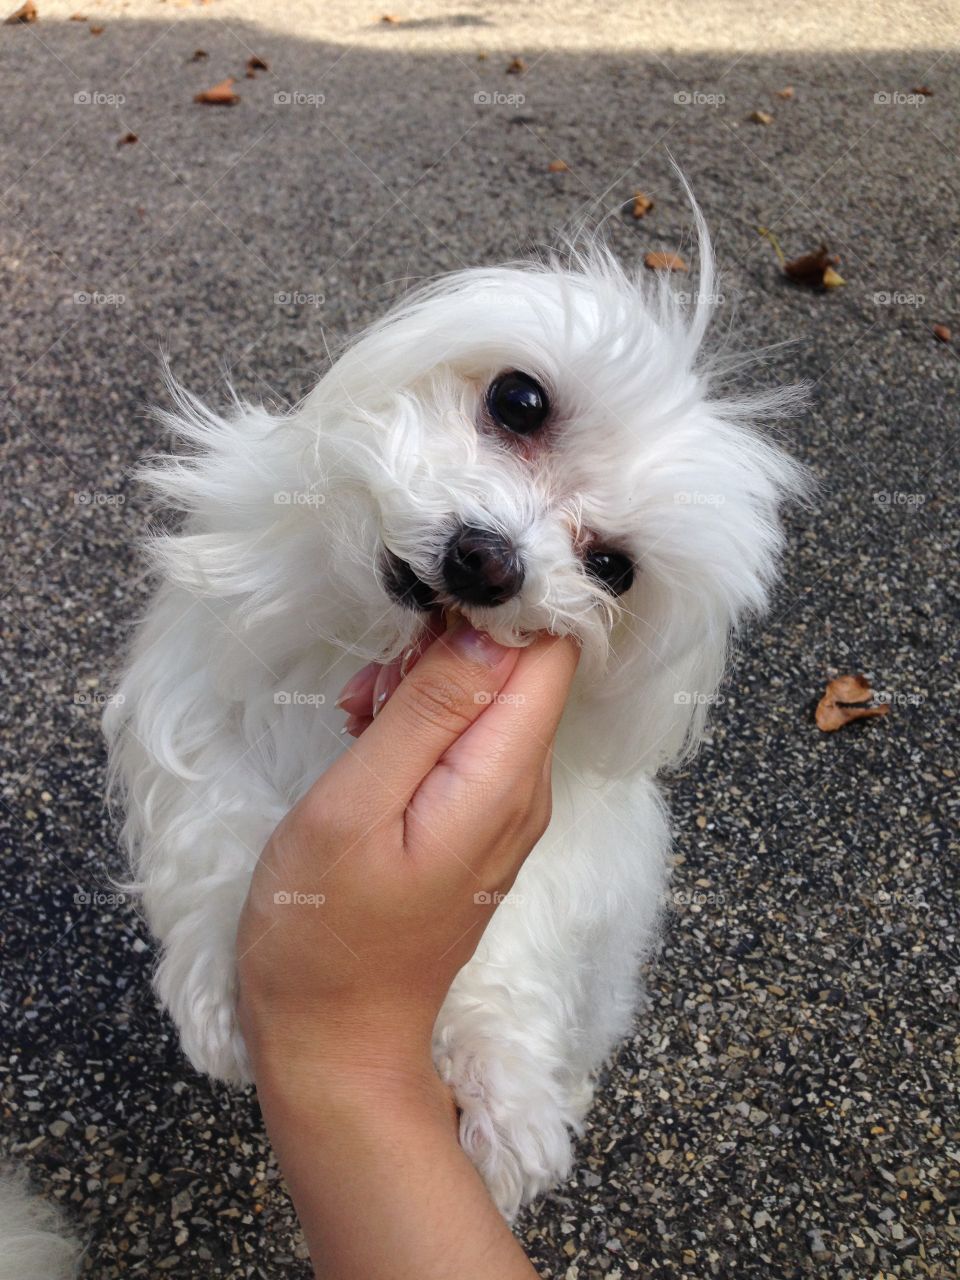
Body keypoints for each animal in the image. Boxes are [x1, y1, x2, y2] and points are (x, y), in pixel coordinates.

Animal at [103, 212, 803, 1218]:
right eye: (519, 400)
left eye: (614, 569)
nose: (489, 559)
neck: (367, 641)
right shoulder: (199, 700)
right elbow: (218, 821)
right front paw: (226, 982)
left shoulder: (552, 836)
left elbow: (505, 934)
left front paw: (501, 1094)